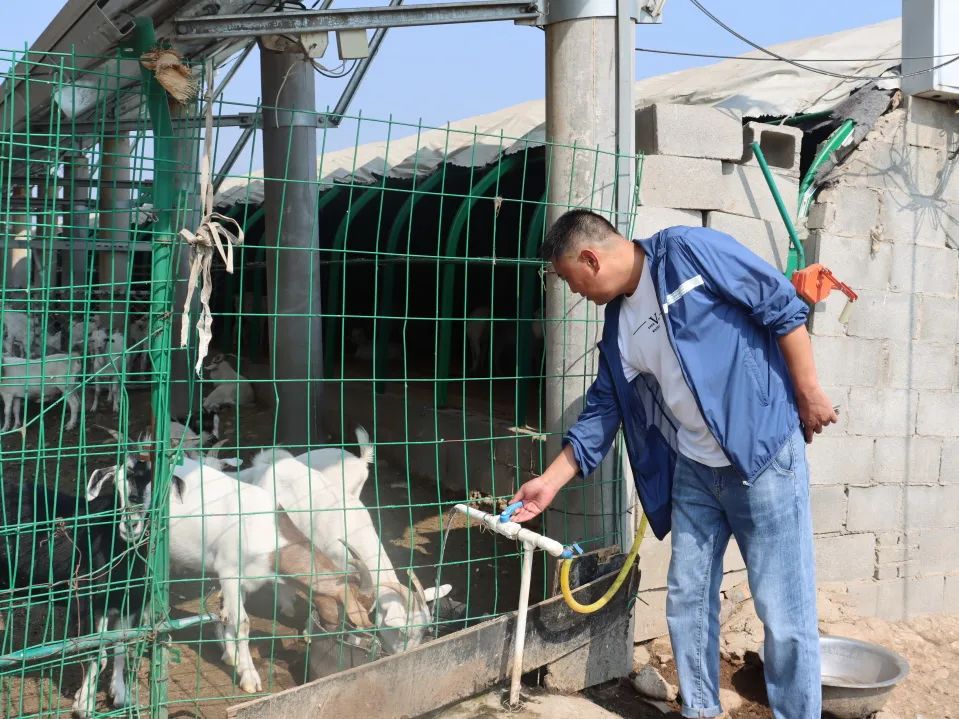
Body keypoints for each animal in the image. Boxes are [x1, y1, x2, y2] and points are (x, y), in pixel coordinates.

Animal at [169, 458, 372, 696]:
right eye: (346, 617)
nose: (351, 643)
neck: (262, 527)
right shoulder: (229, 573)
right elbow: (243, 623)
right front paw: (249, 677)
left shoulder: (245, 581)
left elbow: (229, 616)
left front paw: (231, 657)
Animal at [238, 428, 440, 660]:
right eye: (402, 632)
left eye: (423, 631)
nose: (405, 655)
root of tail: (266, 465)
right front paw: (311, 632)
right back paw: (286, 603)